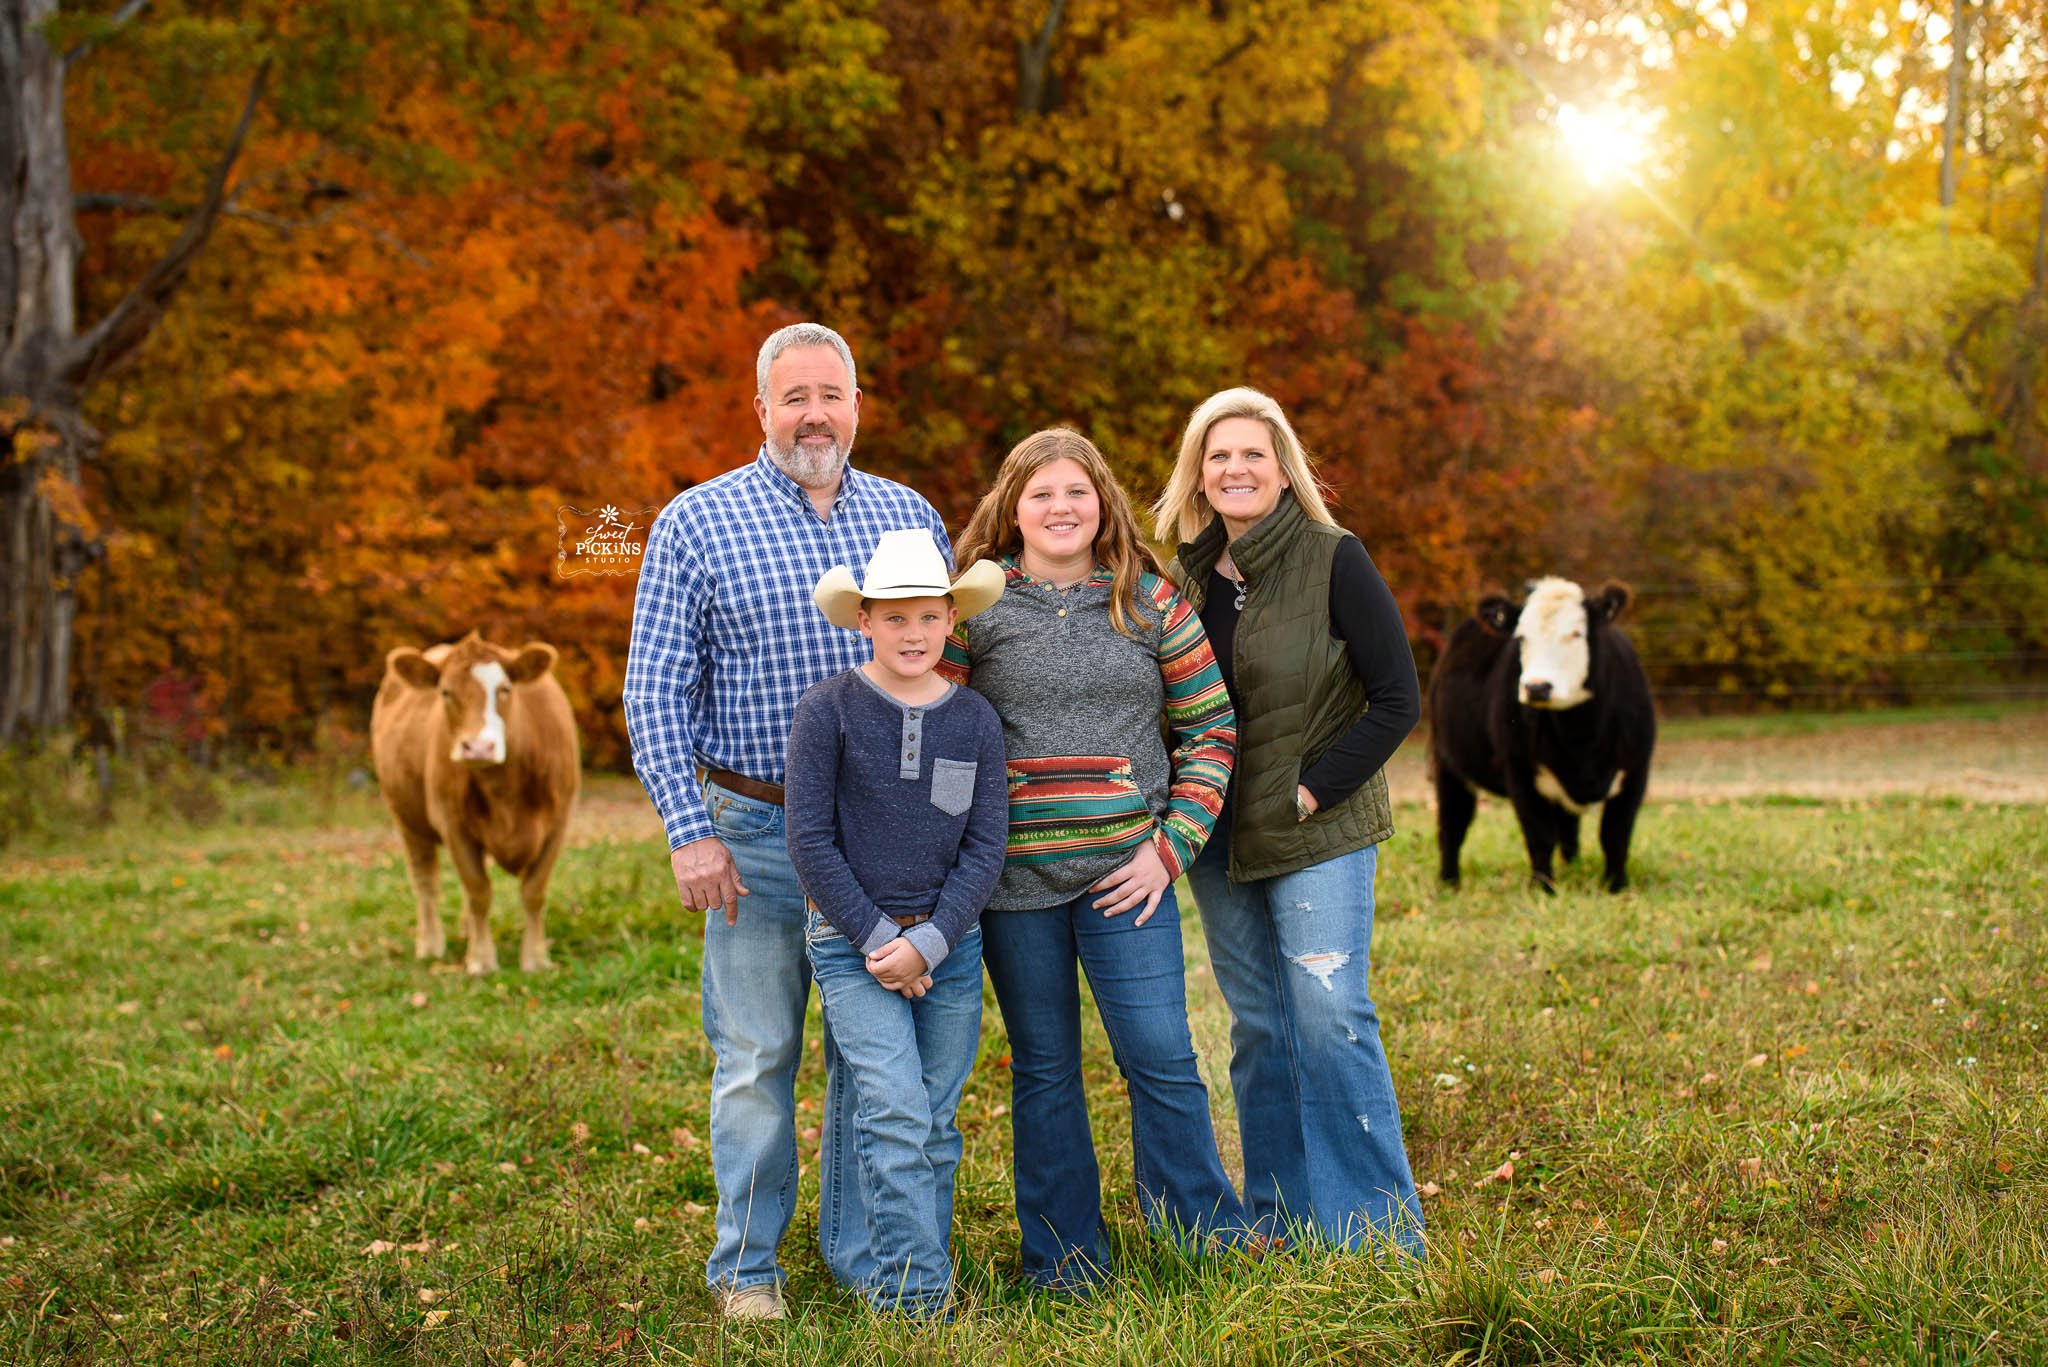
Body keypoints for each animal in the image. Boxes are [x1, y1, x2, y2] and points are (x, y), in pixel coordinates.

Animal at [366, 631, 573, 971]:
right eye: (445, 692)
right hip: (407, 819)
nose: (478, 747)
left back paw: (466, 932)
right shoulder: (453, 826)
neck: (505, 792)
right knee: (425, 882)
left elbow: (534, 891)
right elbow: (478, 890)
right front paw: (481, 960)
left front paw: (535, 958)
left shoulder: (558, 823)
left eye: (504, 689)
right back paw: (431, 945)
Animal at [1433, 582, 1654, 893]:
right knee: (1452, 823)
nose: (1537, 687)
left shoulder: (1636, 770)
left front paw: (1616, 886)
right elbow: (1539, 835)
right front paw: (1543, 888)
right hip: (1447, 761)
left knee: (1569, 830)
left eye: (1576, 633)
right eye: (1521, 637)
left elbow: (1615, 834)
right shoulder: (1519, 772)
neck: (1582, 739)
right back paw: (1449, 882)